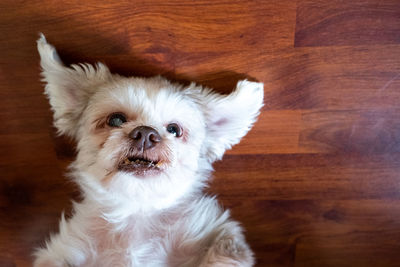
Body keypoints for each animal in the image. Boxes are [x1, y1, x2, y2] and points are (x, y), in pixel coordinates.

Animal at [34, 34, 264, 266]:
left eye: (174, 130)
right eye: (116, 119)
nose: (145, 133)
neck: (137, 214)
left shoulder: (216, 235)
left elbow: (229, 248)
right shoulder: (64, 251)